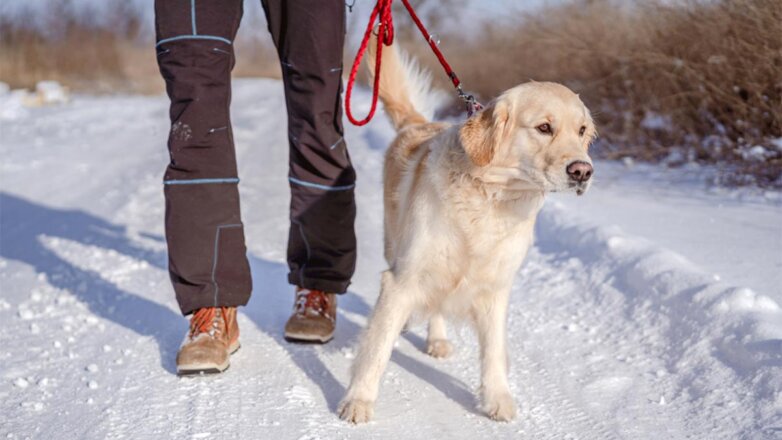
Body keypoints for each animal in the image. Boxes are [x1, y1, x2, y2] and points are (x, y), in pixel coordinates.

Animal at [340, 37, 596, 422]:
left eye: (581, 131)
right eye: (544, 128)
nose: (583, 171)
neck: (491, 197)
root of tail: (416, 123)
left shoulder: (495, 287)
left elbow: (494, 351)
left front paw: (497, 398)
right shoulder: (402, 278)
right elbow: (377, 348)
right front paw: (358, 400)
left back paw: (437, 340)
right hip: (395, 243)